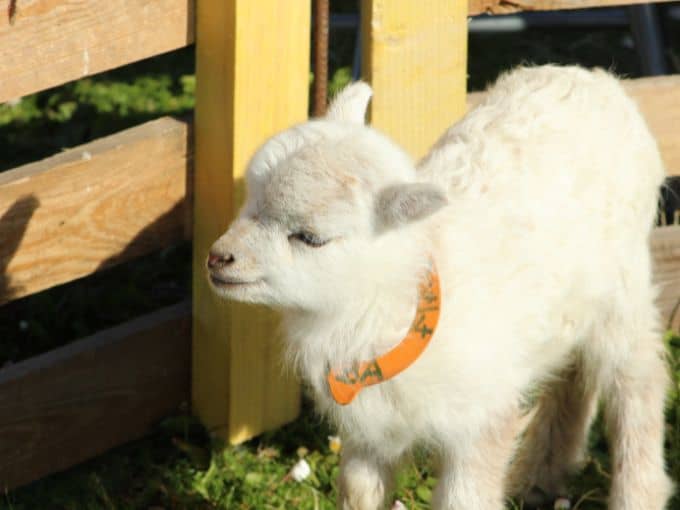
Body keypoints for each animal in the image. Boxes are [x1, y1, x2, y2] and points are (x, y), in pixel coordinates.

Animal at [205, 65, 672, 508]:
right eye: (249, 200)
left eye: (309, 237)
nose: (217, 258)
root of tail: (598, 79)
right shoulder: (370, 428)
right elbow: (357, 492)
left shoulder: (484, 413)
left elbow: (463, 499)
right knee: (573, 373)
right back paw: (539, 478)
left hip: (624, 288)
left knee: (638, 382)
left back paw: (638, 493)